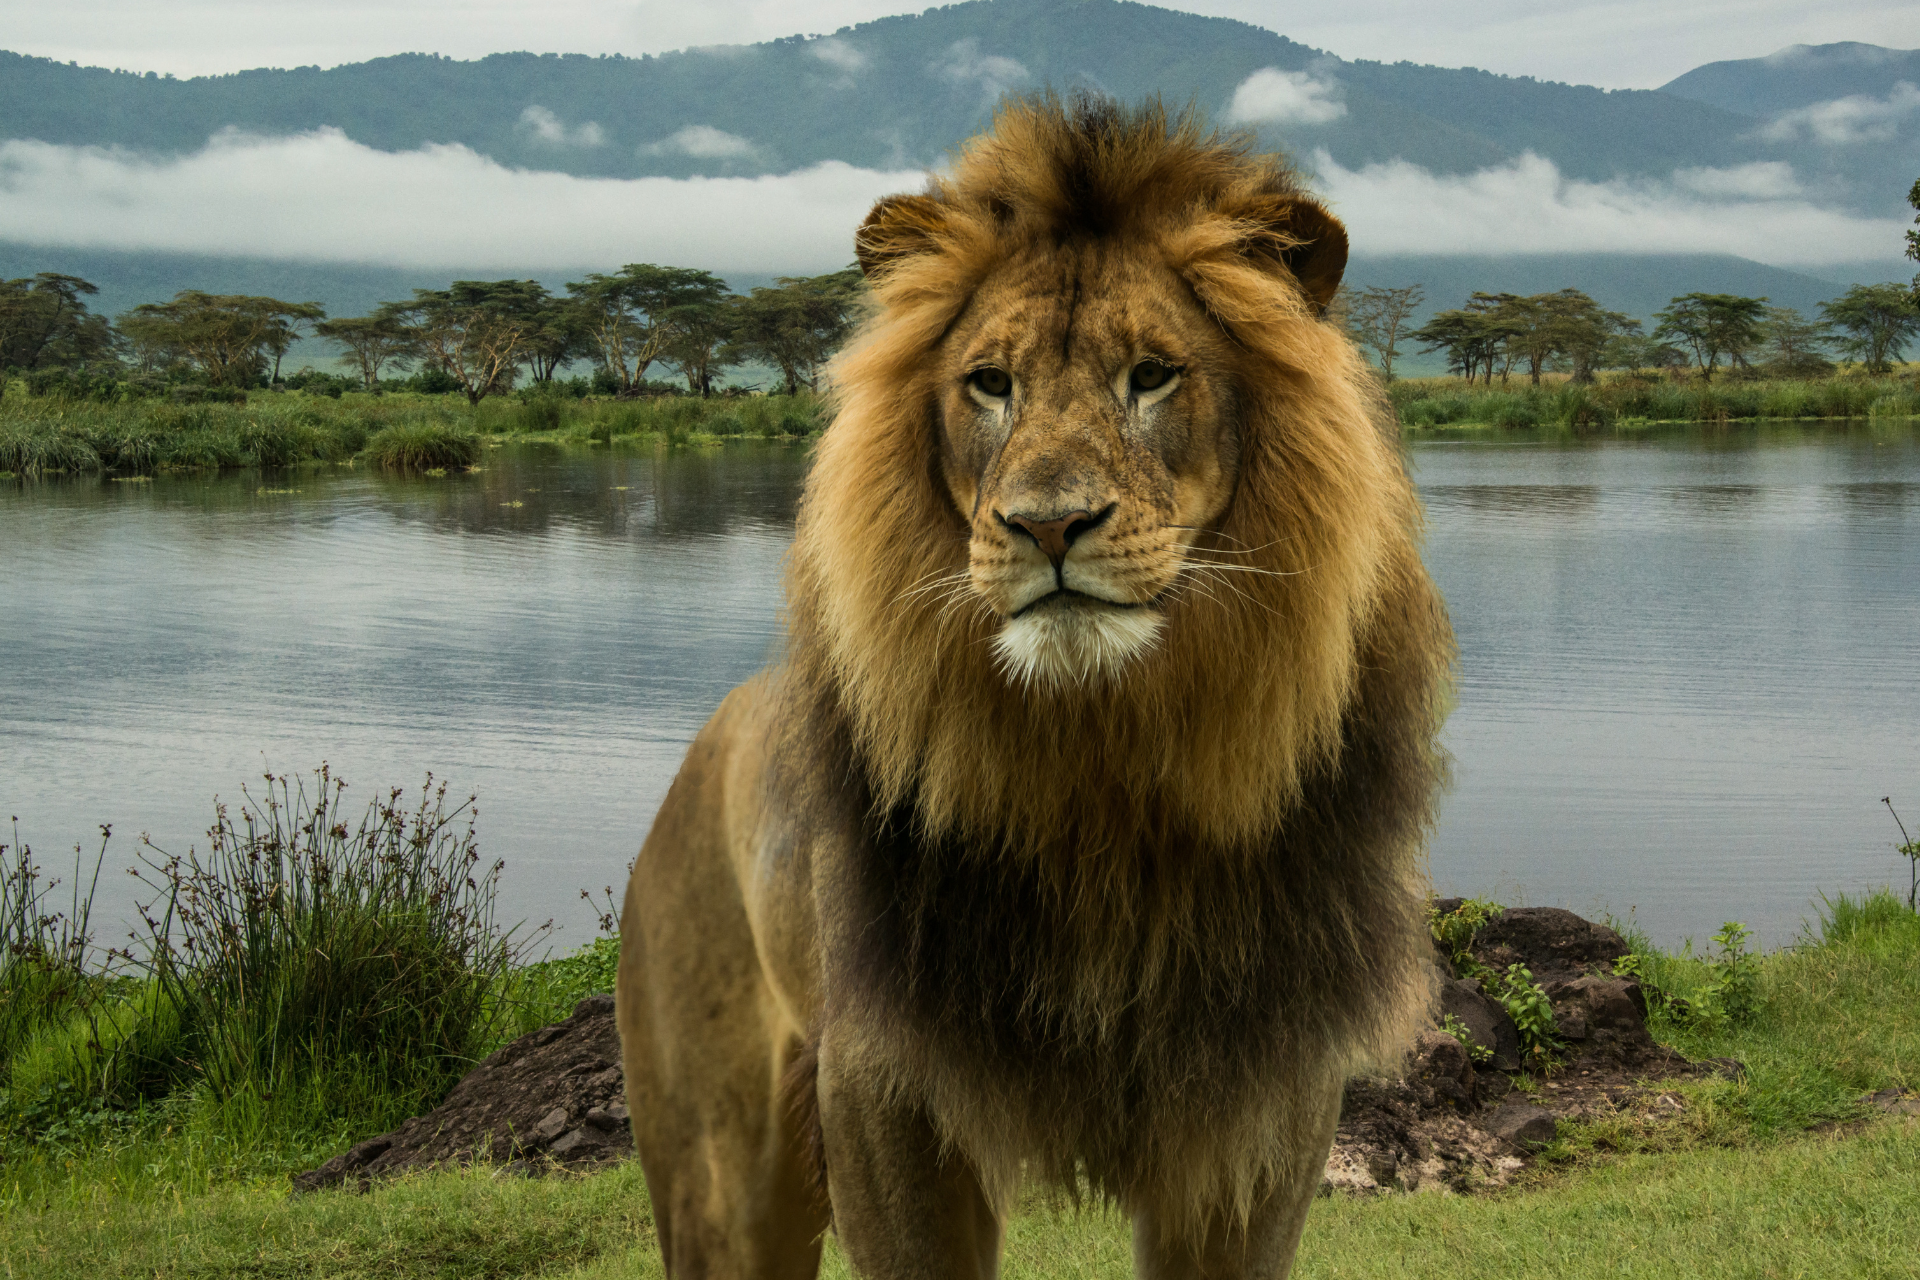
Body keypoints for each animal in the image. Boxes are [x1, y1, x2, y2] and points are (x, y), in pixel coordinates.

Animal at [616, 94, 1453, 1279]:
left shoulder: (1266, 1101)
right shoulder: (882, 1085)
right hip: (719, 1176)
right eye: (991, 382)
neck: (1097, 765)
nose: (1048, 525)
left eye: (1152, 374)